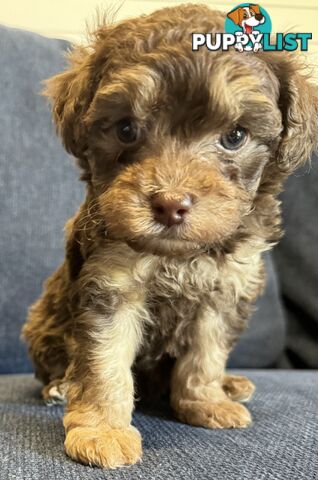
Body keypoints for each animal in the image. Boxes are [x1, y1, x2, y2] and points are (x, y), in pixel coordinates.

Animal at [22, 3, 318, 468]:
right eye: (126, 129)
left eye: (235, 136)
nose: (170, 204)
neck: (180, 256)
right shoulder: (111, 286)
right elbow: (104, 362)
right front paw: (103, 430)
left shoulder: (225, 290)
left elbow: (207, 354)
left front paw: (205, 401)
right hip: (42, 325)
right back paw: (60, 386)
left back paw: (232, 385)